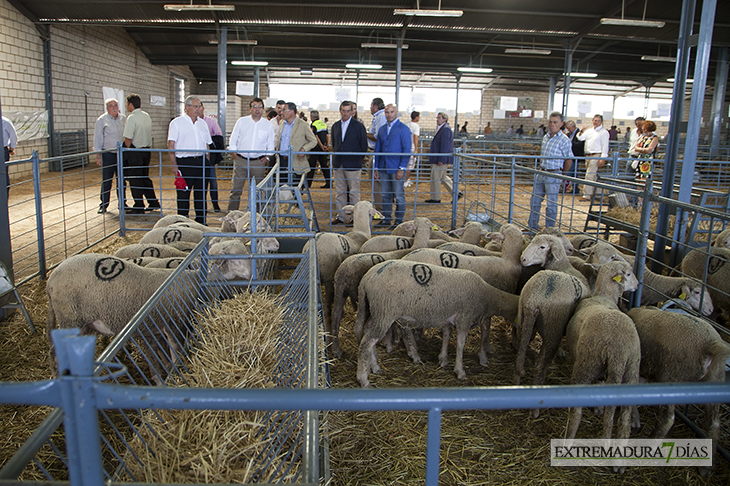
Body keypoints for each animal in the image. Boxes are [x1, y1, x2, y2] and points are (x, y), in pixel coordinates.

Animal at [328, 216, 436, 356]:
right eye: (428, 222)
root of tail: (343, 271)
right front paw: (394, 341)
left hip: (340, 292)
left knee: (336, 319)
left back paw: (336, 350)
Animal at [352, 262, 516, 388]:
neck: (487, 297)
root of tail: (366, 279)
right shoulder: (465, 317)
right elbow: (460, 344)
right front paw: (460, 371)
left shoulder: (447, 318)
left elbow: (447, 336)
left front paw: (443, 360)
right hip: (384, 311)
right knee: (367, 342)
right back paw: (363, 379)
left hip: (374, 310)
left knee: (365, 332)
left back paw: (374, 367)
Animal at [564, 260, 636, 458]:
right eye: (628, 273)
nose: (636, 285)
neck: (604, 296)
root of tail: (618, 349)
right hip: (626, 369)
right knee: (623, 418)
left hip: (598, 365)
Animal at [620, 306, 728, 476]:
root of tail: (711, 343)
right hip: (714, 383)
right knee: (714, 424)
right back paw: (706, 468)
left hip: (672, 377)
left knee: (668, 419)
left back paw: (650, 444)